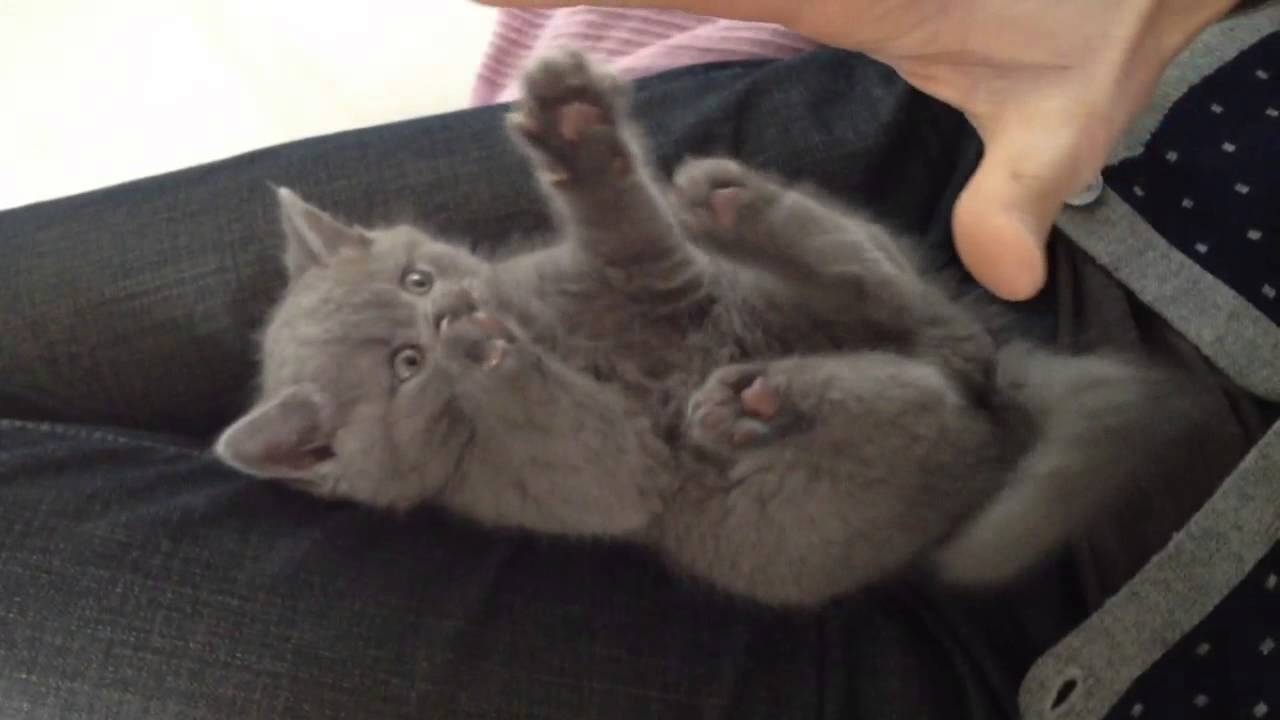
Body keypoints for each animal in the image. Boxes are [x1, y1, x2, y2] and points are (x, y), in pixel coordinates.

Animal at [217, 47, 1208, 602]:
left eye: (417, 277)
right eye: (406, 364)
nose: (448, 309)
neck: (556, 332)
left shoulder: (643, 278)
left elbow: (628, 232)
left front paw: (576, 133)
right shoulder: (583, 476)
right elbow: (579, 442)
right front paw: (486, 351)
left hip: (785, 295)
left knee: (897, 308)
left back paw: (742, 223)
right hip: (802, 510)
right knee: (932, 388)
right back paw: (753, 403)